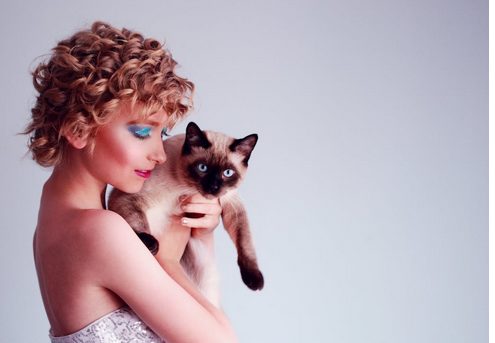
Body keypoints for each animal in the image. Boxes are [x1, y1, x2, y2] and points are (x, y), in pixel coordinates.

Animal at [108, 121, 264, 306]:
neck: (186, 189)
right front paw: (151, 243)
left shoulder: (232, 204)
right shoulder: (128, 197)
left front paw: (254, 280)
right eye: (202, 168)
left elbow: (244, 241)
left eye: (227, 173)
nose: (213, 188)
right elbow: (136, 220)